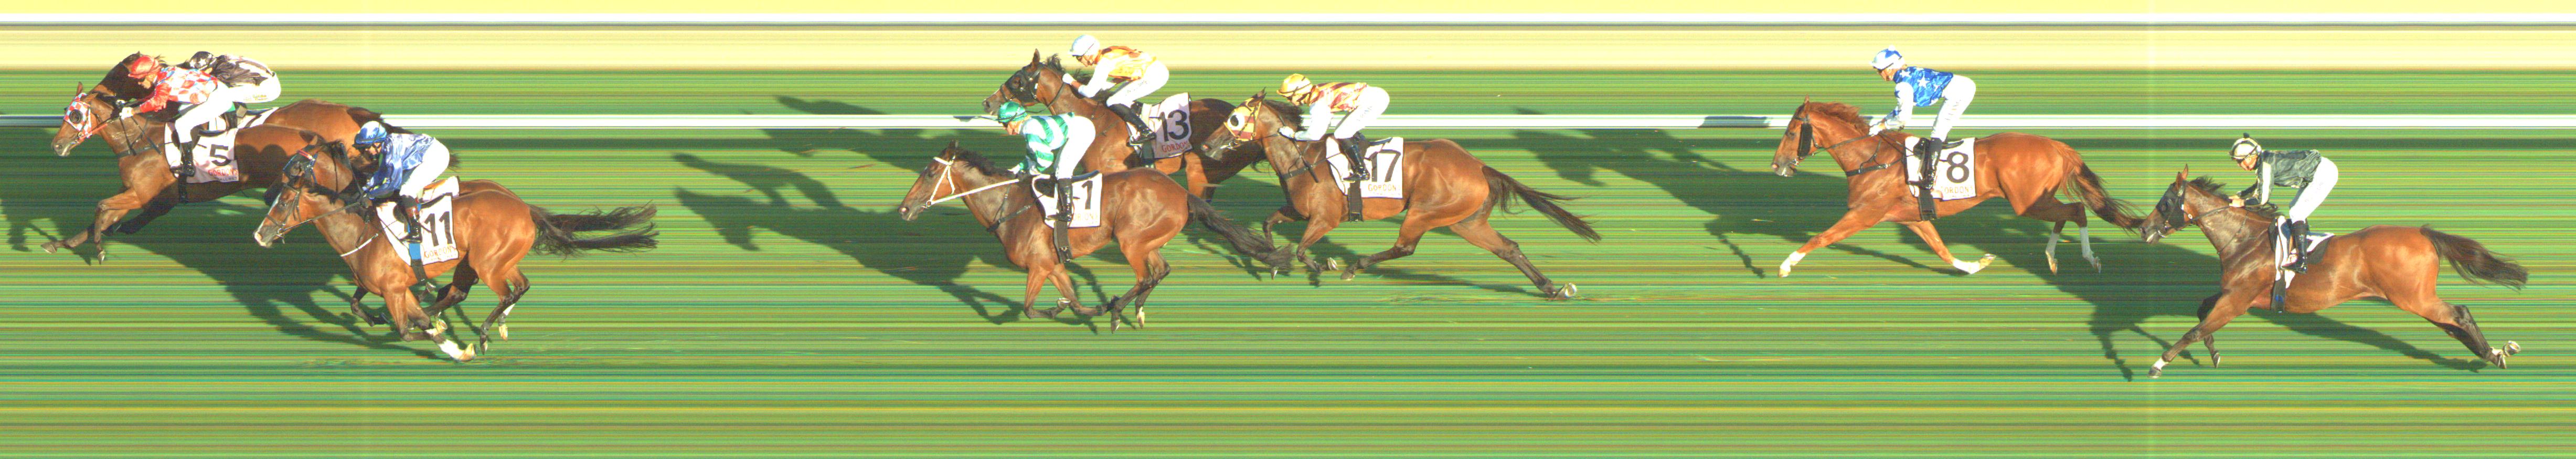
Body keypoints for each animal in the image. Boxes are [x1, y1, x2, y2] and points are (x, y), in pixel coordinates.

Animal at [253, 146, 660, 361]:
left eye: (285, 199)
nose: (260, 235)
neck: (362, 228)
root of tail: (523, 207)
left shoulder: (394, 290)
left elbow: (409, 330)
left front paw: (455, 345)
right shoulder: (387, 288)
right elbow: (365, 306)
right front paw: (390, 321)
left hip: (487, 263)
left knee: (505, 291)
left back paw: (486, 331)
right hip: (484, 263)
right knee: (503, 287)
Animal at [896, 142, 1274, 328]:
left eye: (930, 173)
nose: (903, 209)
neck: (1011, 205)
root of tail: (1182, 193)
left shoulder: (1039, 265)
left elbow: (1030, 308)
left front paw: (1066, 310)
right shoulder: (1053, 264)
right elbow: (1073, 300)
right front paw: (1081, 307)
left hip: (1130, 240)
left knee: (1144, 276)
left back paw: (1119, 310)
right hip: (1149, 241)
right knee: (1161, 271)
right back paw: (1134, 310)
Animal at [1199, 93, 1601, 299]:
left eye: (1234, 119)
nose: (1206, 145)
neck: (1303, 158)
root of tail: (1479, 166)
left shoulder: (1325, 219)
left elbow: (1301, 249)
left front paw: (1322, 265)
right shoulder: (1297, 212)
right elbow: (1270, 224)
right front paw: (1272, 261)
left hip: (1425, 213)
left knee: (1404, 247)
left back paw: (1354, 267)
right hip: (1466, 222)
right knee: (1509, 249)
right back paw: (1551, 288)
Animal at [1771, 100, 2141, 276]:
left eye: (1790, 132)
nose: (1776, 165)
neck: (1871, 159)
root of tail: (2056, 144)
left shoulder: (1865, 213)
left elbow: (1822, 237)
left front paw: (1786, 265)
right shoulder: (1911, 217)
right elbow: (1940, 249)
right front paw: (1977, 265)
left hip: (2027, 203)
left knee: (2076, 210)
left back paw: (2089, 258)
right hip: (2037, 200)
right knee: (2067, 213)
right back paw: (2051, 258)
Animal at [2136, 171, 2527, 378]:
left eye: (2165, 203)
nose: (2143, 229)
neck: (2243, 239)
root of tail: (2422, 233)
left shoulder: (2238, 301)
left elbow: (2195, 329)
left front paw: (2157, 364)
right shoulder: (2234, 295)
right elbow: (2202, 313)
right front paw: (2214, 354)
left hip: (2413, 298)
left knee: (2459, 314)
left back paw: (2494, 353)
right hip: (2416, 298)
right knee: (2452, 323)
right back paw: (2493, 353)